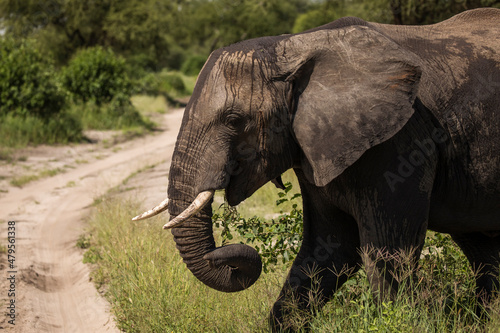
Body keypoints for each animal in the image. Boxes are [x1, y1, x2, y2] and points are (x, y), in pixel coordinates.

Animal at [134, 7, 500, 330]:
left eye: (234, 120)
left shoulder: (400, 142)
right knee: (482, 248)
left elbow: (388, 256)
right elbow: (329, 249)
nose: (224, 256)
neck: (292, 48)